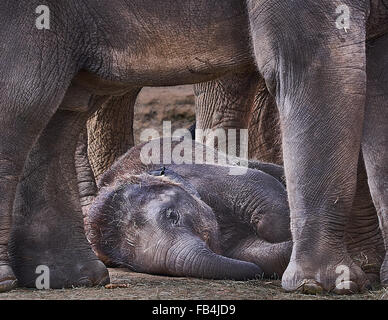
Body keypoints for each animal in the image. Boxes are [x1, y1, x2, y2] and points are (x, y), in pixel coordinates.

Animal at [86, 158, 292, 280]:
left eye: (172, 215)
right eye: (128, 265)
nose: (257, 273)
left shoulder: (211, 177)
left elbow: (259, 184)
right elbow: (255, 253)